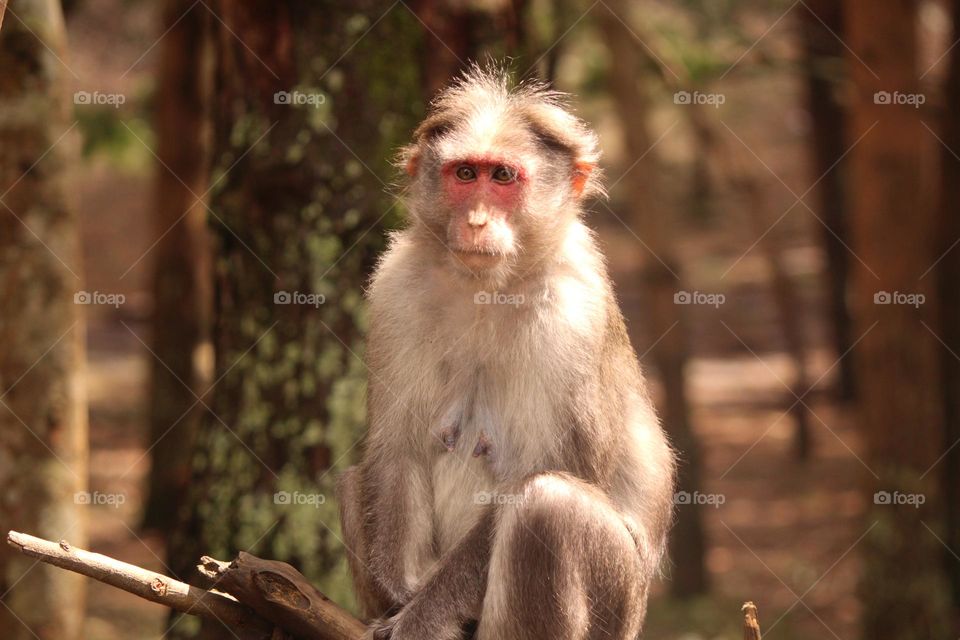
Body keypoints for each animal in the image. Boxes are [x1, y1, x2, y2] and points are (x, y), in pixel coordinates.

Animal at [337, 65, 676, 640]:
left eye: (502, 177)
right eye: (464, 173)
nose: (476, 221)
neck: (488, 289)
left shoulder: (571, 315)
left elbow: (543, 475)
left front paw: (421, 618)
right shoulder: (394, 288)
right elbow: (396, 449)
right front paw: (401, 593)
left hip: (618, 603)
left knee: (547, 507)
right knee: (353, 478)